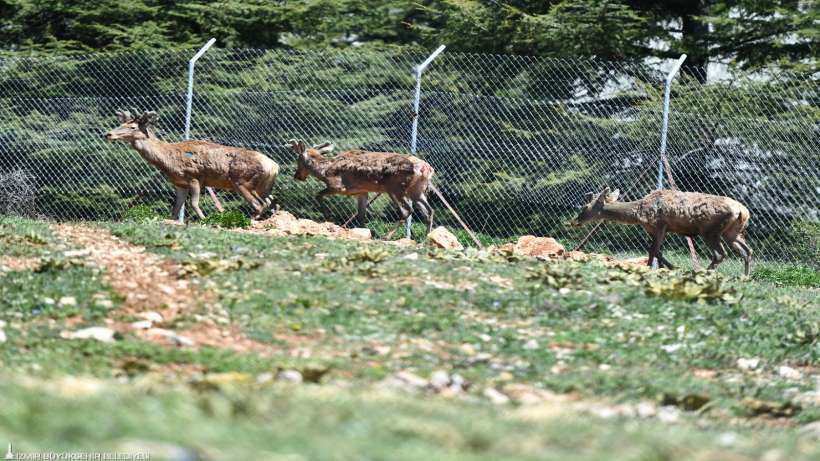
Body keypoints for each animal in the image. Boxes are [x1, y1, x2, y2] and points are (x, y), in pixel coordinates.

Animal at [105, 109, 280, 221]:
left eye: (132, 127)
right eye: (121, 124)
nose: (108, 134)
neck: (168, 160)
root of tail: (274, 166)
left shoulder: (194, 177)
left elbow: (194, 203)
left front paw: (204, 220)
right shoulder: (179, 184)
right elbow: (175, 209)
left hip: (242, 181)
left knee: (260, 205)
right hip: (263, 186)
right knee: (272, 202)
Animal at [292, 139, 438, 241]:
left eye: (298, 160)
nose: (297, 176)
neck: (324, 171)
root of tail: (426, 168)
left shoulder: (338, 186)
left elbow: (318, 194)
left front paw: (329, 216)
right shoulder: (362, 192)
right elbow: (361, 215)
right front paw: (363, 232)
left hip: (395, 187)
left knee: (407, 210)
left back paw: (386, 237)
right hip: (416, 190)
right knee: (429, 211)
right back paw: (427, 238)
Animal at [572, 186, 752, 274]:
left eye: (585, 206)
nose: (575, 221)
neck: (638, 213)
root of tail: (742, 211)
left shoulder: (658, 225)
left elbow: (652, 250)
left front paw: (650, 269)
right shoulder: (660, 229)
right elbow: (658, 251)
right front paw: (670, 268)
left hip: (710, 231)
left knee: (720, 254)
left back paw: (702, 273)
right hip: (732, 232)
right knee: (747, 251)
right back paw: (745, 277)